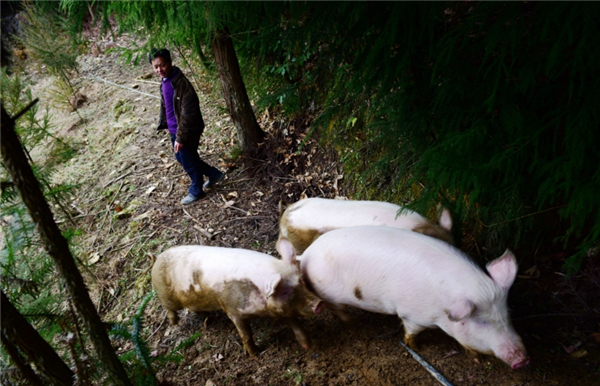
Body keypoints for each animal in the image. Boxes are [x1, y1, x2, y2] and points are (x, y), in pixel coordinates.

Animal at [152, 244, 326, 356]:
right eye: (284, 291)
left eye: (301, 281)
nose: (319, 303)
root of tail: (157, 258)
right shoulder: (233, 310)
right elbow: (246, 334)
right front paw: (255, 355)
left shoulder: (282, 310)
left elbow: (296, 325)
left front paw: (308, 346)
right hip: (166, 295)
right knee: (169, 308)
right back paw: (175, 322)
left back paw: (208, 319)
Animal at [296, 228, 528, 370]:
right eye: (481, 321)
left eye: (508, 314)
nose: (523, 360)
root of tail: (305, 254)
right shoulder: (412, 315)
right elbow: (411, 333)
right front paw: (417, 348)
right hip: (328, 294)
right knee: (337, 310)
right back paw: (354, 324)